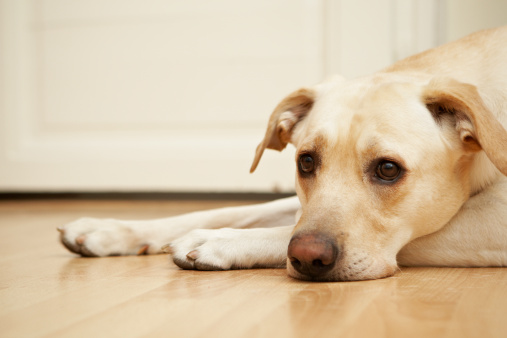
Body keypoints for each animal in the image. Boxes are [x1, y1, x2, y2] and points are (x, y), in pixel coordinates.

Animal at [58, 26, 507, 282]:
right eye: (306, 162)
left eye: (387, 169)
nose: (307, 257)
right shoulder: (300, 202)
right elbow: (228, 211)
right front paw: (110, 229)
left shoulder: (490, 221)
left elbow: (279, 230)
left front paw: (218, 242)